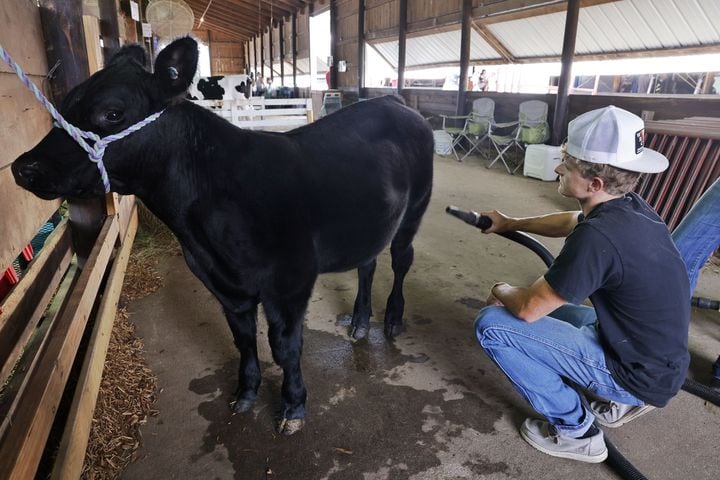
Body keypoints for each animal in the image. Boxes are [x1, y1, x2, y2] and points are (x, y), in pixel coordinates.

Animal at [9, 37, 434, 436]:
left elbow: (285, 347)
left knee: (401, 260)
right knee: (367, 265)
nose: (22, 167)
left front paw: (293, 407)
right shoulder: (221, 283)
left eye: (111, 113)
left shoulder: (290, 281)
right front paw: (245, 393)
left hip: (415, 209)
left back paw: (392, 319)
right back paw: (360, 321)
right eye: (64, 104)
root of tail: (393, 101)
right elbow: (243, 340)